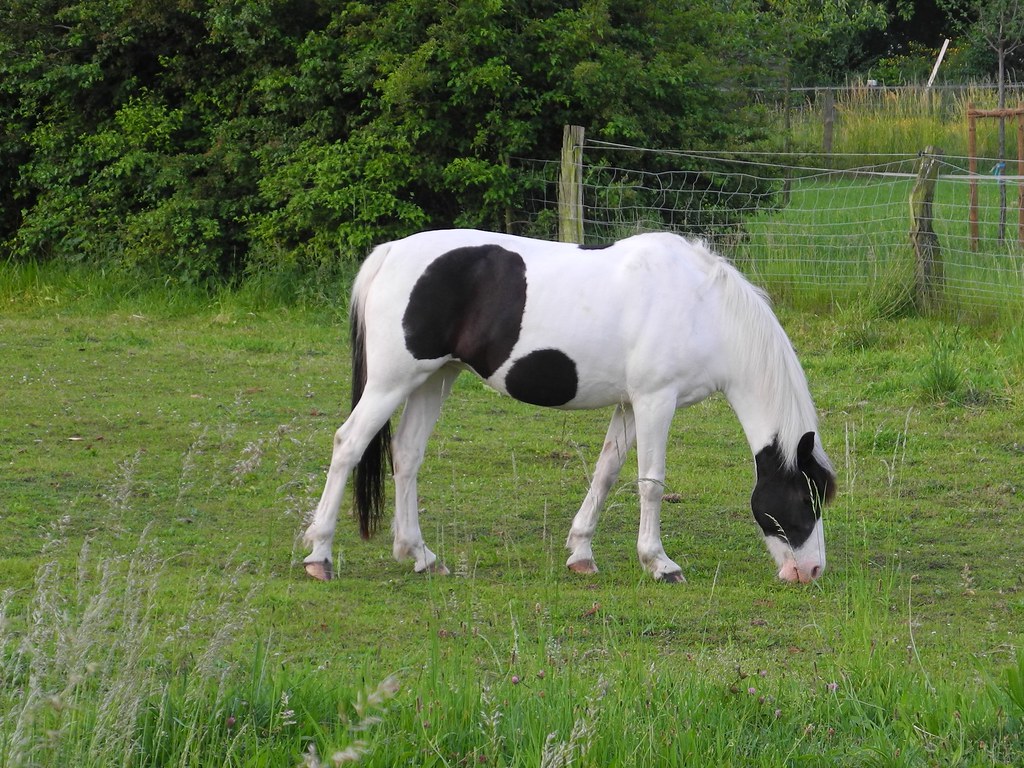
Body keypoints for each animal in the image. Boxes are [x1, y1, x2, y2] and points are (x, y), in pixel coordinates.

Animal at [302, 229, 836, 584]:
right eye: (804, 498)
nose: (810, 570)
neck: (704, 309)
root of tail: (389, 252)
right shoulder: (655, 400)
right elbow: (651, 484)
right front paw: (659, 563)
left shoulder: (629, 404)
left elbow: (607, 472)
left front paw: (581, 552)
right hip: (392, 380)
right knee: (349, 444)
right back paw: (319, 556)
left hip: (435, 378)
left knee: (407, 455)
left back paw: (420, 555)